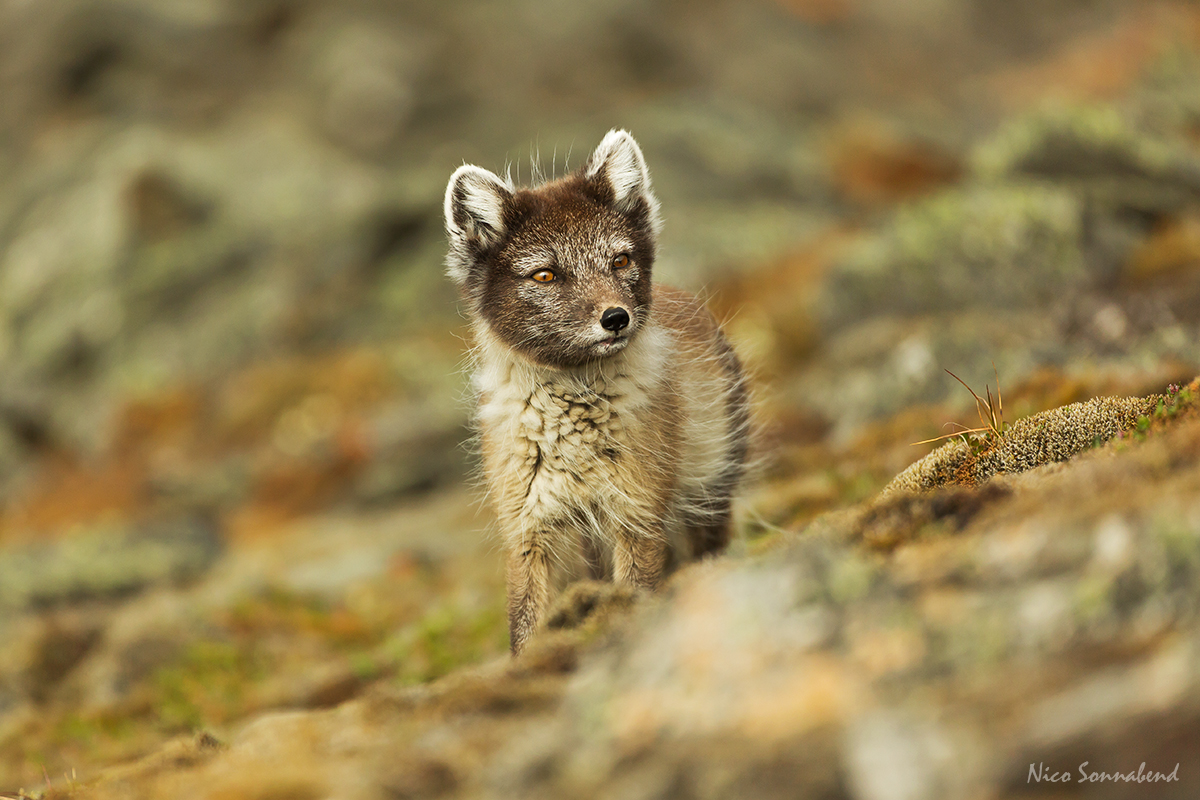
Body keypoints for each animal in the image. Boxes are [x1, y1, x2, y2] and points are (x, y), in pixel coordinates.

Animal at [446, 133, 744, 657]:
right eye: (545, 275)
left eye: (620, 260)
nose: (616, 318)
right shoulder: (527, 531)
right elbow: (525, 626)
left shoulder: (637, 517)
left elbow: (637, 592)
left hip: (707, 495)